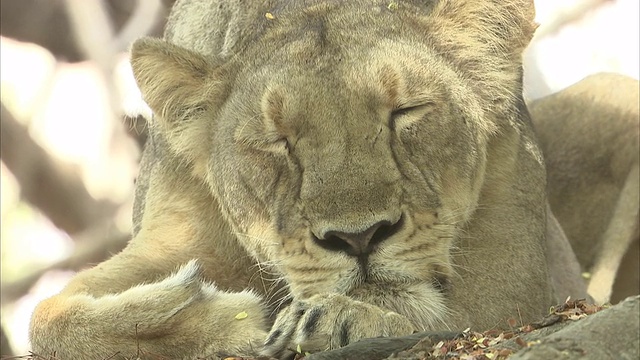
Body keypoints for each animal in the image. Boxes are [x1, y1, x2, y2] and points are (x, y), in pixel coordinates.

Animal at [27, 0, 588, 358]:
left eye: (405, 112)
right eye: (277, 141)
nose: (360, 238)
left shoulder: (519, 276)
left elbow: (457, 316)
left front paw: (339, 320)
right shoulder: (175, 234)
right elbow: (43, 318)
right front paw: (218, 318)